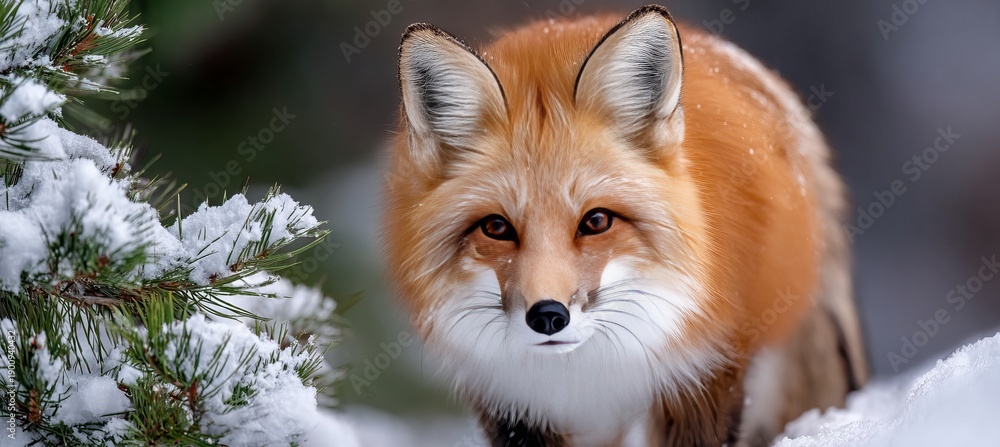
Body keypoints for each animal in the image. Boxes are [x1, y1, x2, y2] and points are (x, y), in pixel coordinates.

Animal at [382, 5, 868, 447]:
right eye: (497, 228)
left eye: (596, 221)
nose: (548, 316)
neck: (589, 373)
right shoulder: (514, 402)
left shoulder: (701, 373)